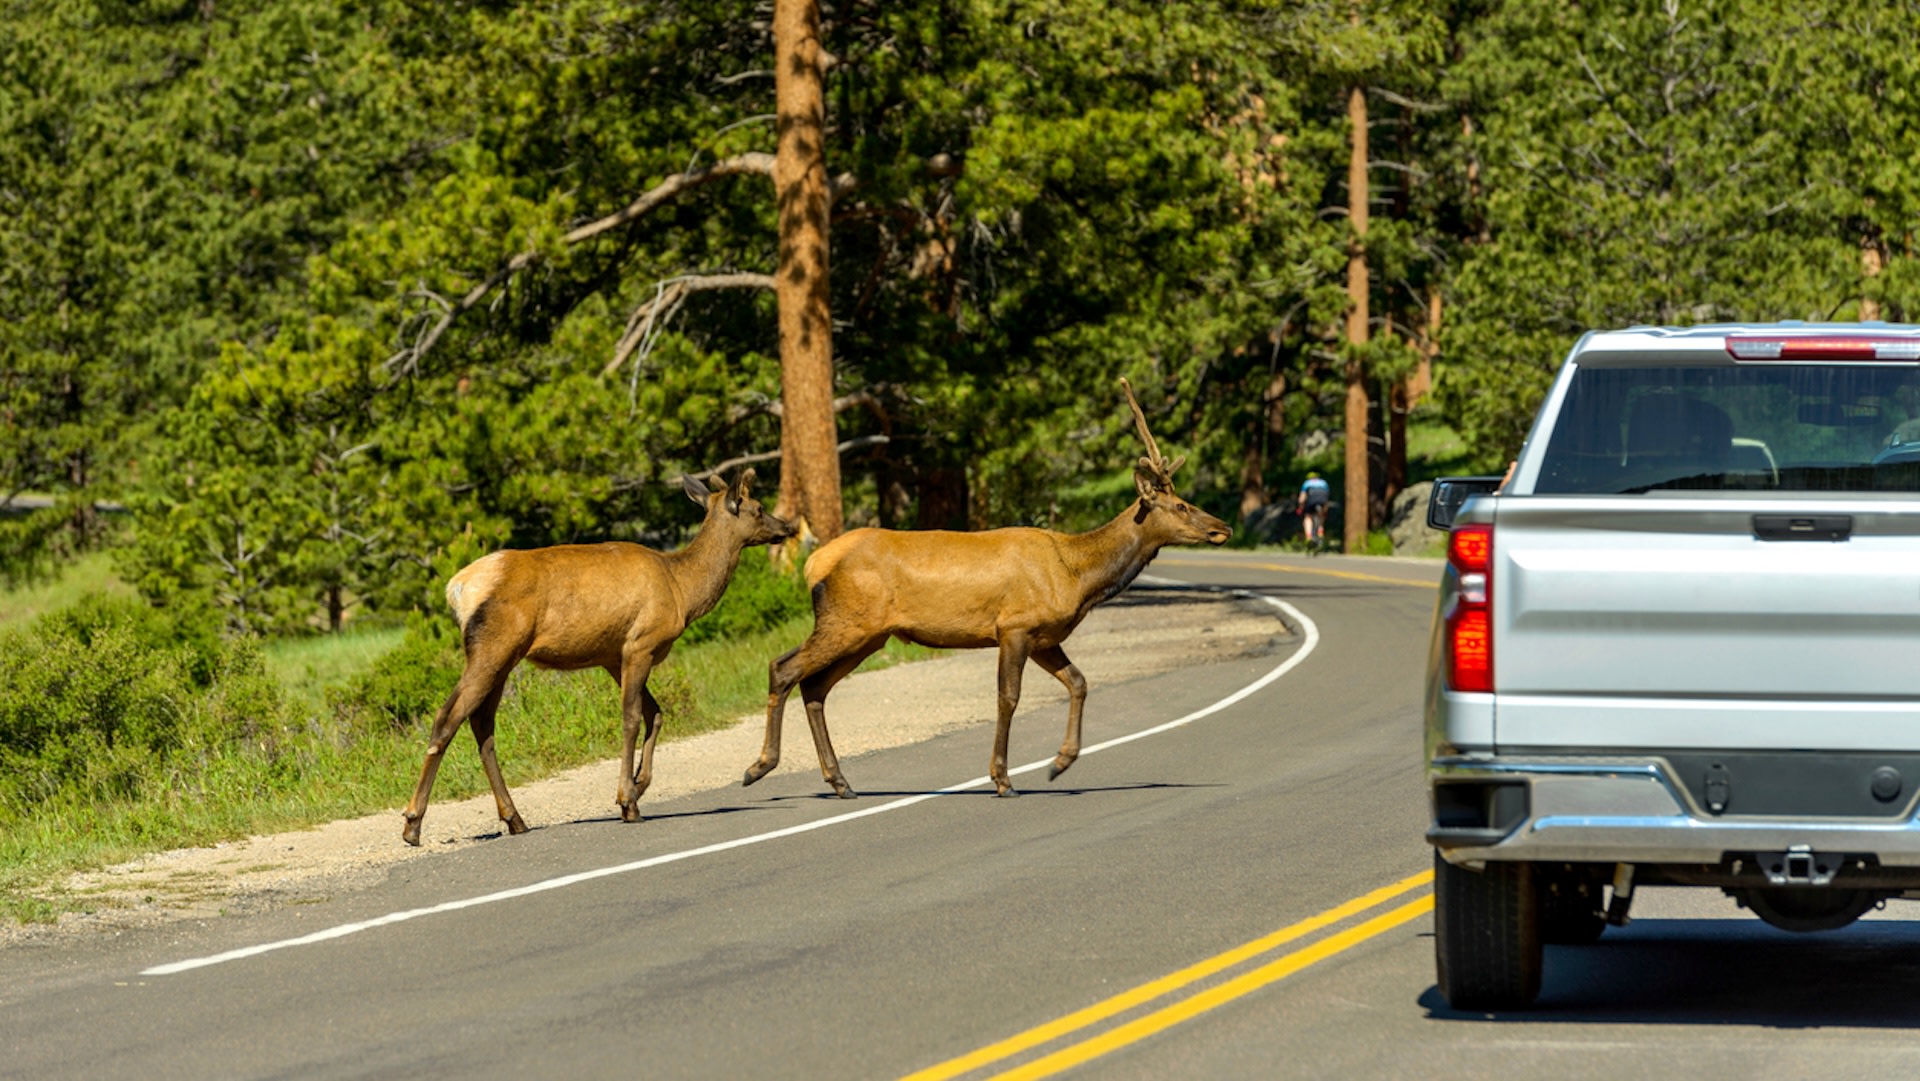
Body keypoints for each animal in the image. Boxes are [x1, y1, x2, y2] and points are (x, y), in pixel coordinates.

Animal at [405, 470, 794, 848]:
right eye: (758, 508)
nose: (787, 527)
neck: (683, 590)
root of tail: (457, 589)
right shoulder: (640, 644)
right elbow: (632, 717)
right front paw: (628, 801)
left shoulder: (613, 655)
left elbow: (655, 714)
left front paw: (638, 784)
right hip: (493, 646)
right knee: (447, 716)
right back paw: (413, 824)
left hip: (503, 657)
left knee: (482, 725)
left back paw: (514, 818)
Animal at [741, 376, 1236, 798]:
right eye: (1180, 505)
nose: (1223, 527)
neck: (1077, 574)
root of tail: (812, 565)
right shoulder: (1014, 626)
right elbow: (1008, 697)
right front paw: (1002, 778)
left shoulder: (1043, 636)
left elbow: (1078, 682)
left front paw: (1060, 763)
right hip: (847, 620)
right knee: (784, 667)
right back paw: (760, 766)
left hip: (870, 635)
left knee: (815, 686)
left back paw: (840, 781)